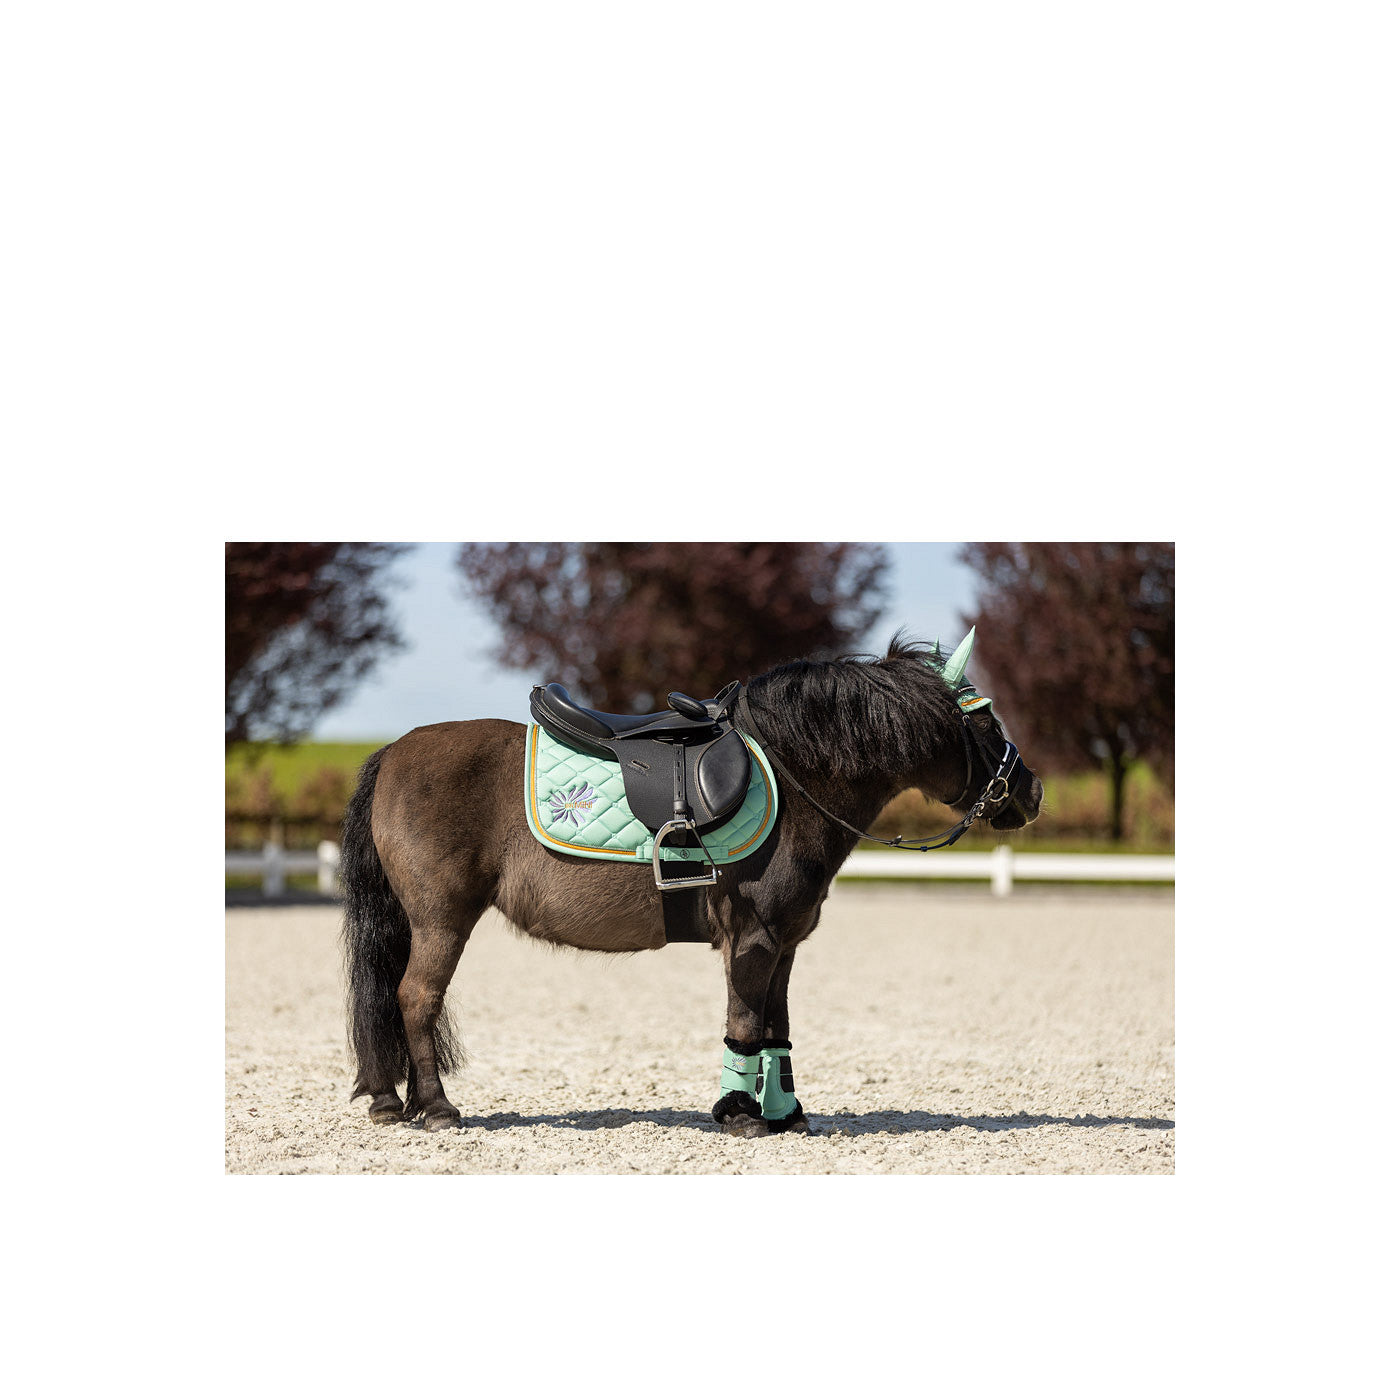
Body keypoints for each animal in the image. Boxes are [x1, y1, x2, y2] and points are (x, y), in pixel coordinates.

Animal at [341, 631, 1043, 1136]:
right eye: (985, 722)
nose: (1033, 792)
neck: (793, 778)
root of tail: (392, 752)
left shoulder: (784, 944)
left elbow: (777, 1028)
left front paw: (785, 1114)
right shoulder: (753, 939)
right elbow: (746, 1023)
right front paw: (741, 1115)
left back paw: (392, 1101)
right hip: (442, 919)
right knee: (415, 997)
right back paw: (435, 1107)